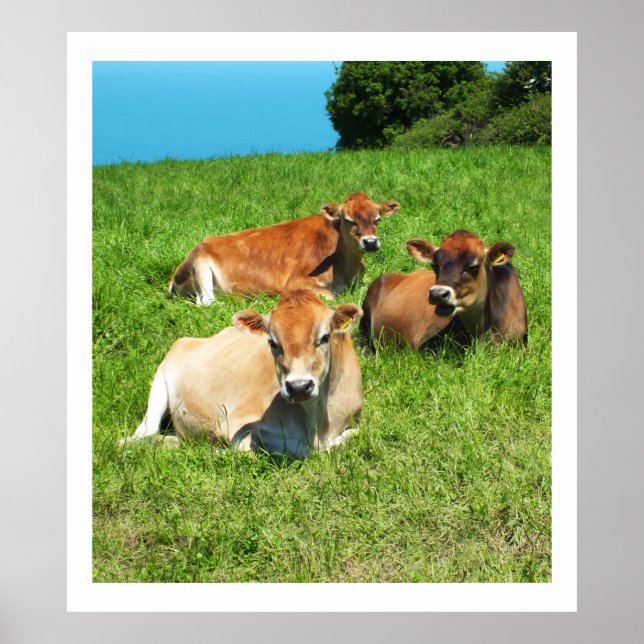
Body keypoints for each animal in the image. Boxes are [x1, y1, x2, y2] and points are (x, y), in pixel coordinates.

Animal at [121, 290, 364, 458]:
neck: (316, 424)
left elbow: (350, 435)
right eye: (272, 342)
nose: (299, 386)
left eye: (324, 337)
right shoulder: (236, 425)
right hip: (161, 380)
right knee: (139, 435)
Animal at [168, 192, 400, 304]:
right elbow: (331, 296)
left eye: (377, 220)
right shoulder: (297, 282)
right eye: (349, 220)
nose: (370, 242)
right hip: (200, 265)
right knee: (206, 302)